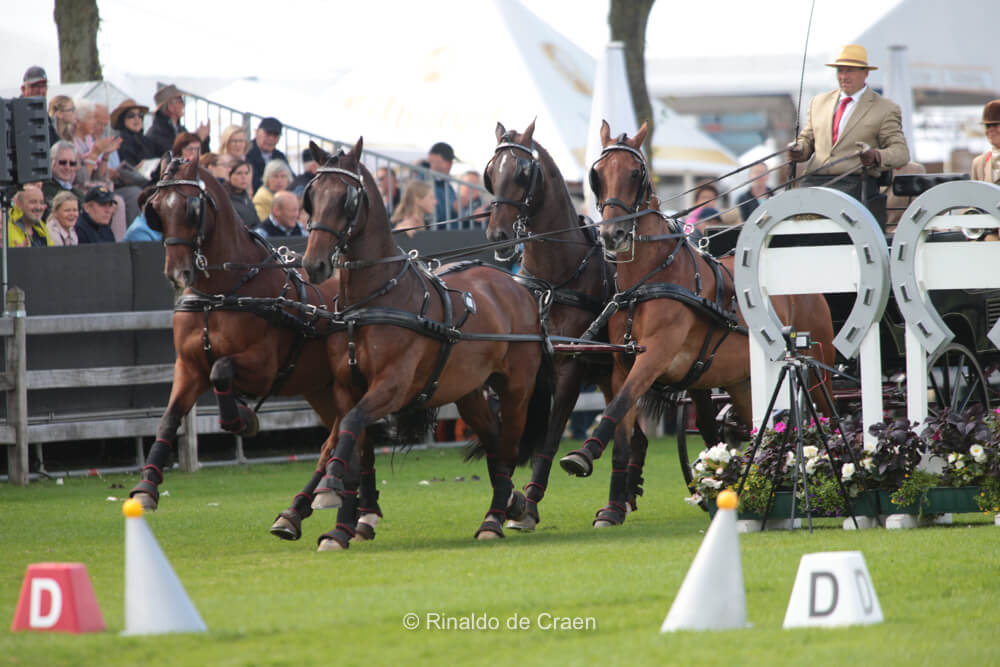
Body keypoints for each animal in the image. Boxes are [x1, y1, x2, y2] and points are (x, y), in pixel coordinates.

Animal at [132, 155, 380, 545]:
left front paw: (243, 419)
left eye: (191, 208)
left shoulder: (262, 368)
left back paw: (328, 509)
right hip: (323, 389)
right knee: (354, 439)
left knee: (338, 441)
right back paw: (338, 513)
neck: (222, 292)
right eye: (156, 209)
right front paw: (147, 487)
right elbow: (169, 417)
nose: (177, 273)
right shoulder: (188, 367)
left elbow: (221, 370)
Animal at [300, 137, 554, 544]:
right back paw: (507, 505)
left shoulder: (393, 386)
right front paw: (339, 527)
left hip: (516, 388)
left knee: (508, 445)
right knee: (494, 442)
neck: (372, 300)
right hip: (469, 391)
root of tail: (518, 287)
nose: (314, 264)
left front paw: (330, 487)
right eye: (312, 195)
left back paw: (494, 520)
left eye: (347, 199)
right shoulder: (345, 387)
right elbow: (352, 439)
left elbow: (352, 424)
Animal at [483, 120, 652, 528]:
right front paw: (511, 501)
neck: (555, 280)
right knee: (633, 435)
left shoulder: (570, 369)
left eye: (523, 172)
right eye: (491, 172)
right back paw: (623, 498)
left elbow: (550, 435)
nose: (498, 236)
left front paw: (527, 505)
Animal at [557, 120, 836, 520]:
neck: (649, 280)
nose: (613, 234)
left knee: (830, 417)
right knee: (760, 428)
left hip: (816, 370)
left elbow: (618, 404)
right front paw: (611, 507)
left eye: (636, 173)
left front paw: (584, 452)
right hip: (743, 381)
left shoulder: (656, 356)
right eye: (597, 174)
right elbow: (622, 424)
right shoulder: (622, 365)